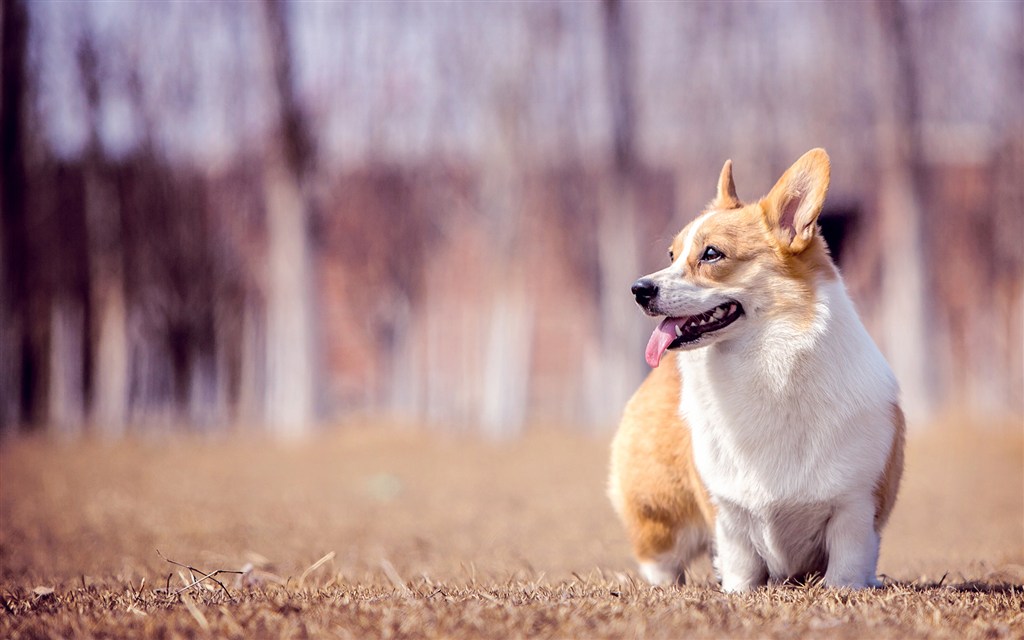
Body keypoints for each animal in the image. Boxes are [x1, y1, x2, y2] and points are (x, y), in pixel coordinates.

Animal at [606, 147, 905, 589]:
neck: (765, 365)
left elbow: (847, 566)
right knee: (662, 563)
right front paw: (737, 593)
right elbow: (741, 564)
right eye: (671, 256)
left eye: (712, 254)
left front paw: (846, 589)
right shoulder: (729, 513)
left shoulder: (854, 507)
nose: (638, 289)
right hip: (661, 521)